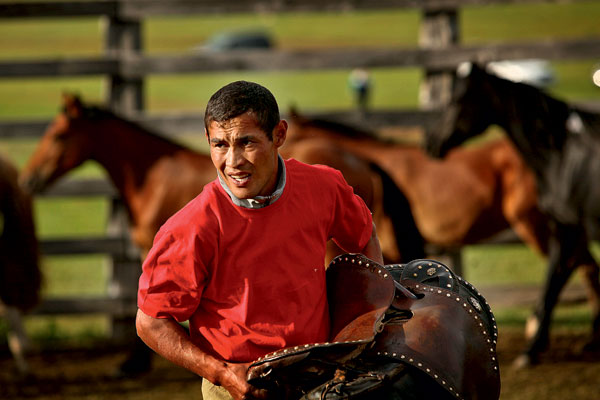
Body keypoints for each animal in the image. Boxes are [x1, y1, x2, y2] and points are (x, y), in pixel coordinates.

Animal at [424, 64, 600, 368]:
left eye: (458, 100)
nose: (433, 141)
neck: (562, 155)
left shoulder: (569, 227)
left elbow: (553, 283)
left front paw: (532, 347)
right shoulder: (565, 229)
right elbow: (559, 279)